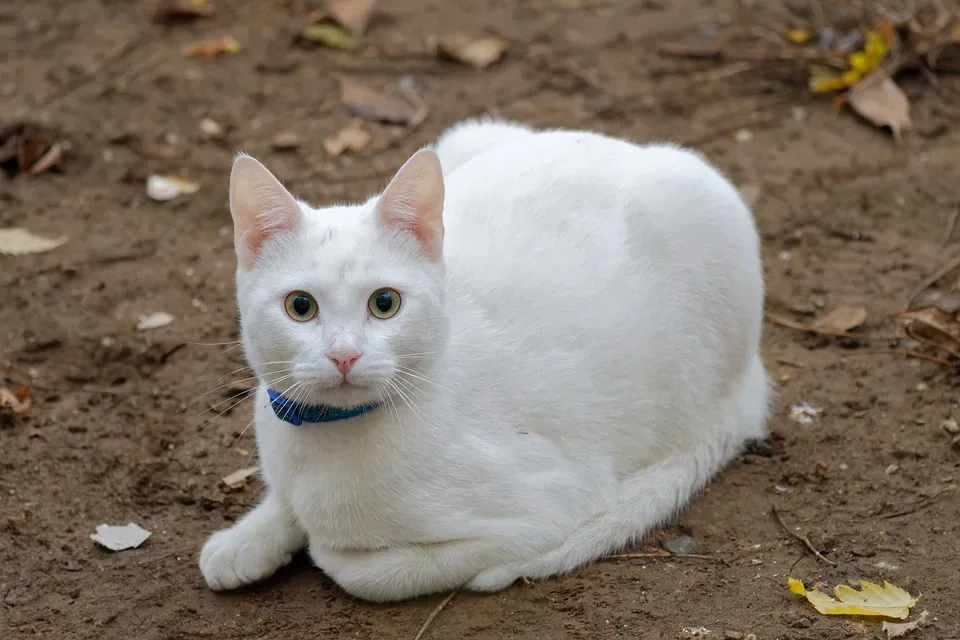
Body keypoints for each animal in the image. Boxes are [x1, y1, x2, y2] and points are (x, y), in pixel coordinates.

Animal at [199, 117, 768, 604]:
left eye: (384, 303)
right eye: (301, 306)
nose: (344, 355)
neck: (323, 440)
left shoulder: (547, 510)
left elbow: (367, 572)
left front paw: (320, 546)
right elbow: (282, 501)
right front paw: (245, 540)